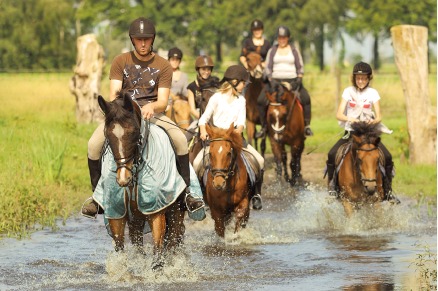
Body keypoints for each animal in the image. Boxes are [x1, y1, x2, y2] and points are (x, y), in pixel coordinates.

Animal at [97, 91, 186, 272]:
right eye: (108, 135)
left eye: (134, 133)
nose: (123, 178)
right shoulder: (117, 211)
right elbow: (120, 253)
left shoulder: (156, 210)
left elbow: (158, 254)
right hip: (136, 220)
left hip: (176, 211)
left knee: (172, 242)